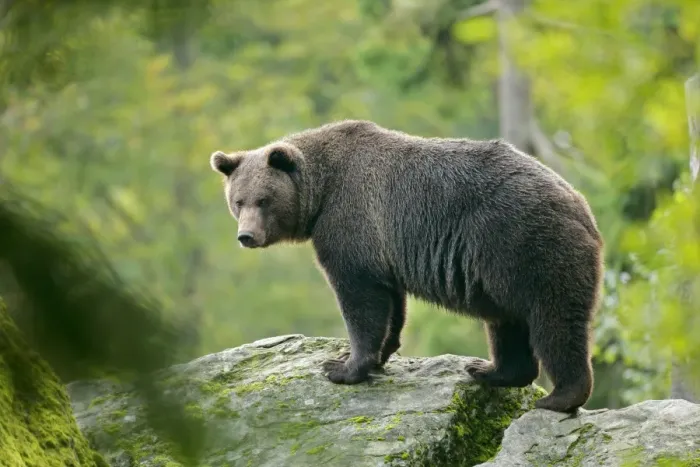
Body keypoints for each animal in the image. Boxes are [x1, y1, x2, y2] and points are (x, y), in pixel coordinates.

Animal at [209, 119, 604, 413]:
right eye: (238, 200)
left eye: (264, 200)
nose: (246, 235)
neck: (321, 191)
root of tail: (582, 205)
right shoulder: (386, 248)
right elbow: (390, 304)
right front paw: (375, 355)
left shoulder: (351, 220)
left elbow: (359, 298)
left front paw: (342, 367)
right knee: (506, 323)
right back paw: (488, 370)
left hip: (524, 243)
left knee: (553, 319)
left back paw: (559, 397)